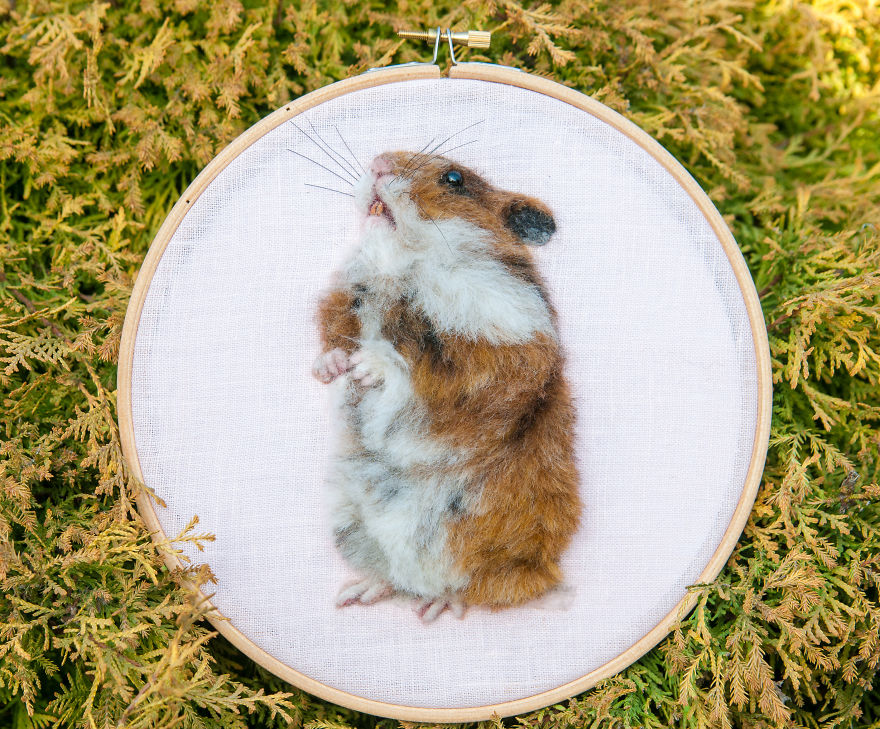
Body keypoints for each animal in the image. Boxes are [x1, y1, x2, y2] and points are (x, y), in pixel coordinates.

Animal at [312, 150, 582, 621]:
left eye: (454, 178)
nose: (377, 162)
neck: (404, 268)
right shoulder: (350, 295)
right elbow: (338, 328)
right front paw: (333, 367)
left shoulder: (498, 357)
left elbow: (421, 374)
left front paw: (366, 367)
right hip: (351, 521)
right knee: (396, 576)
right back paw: (359, 592)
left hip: (486, 549)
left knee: (481, 588)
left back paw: (436, 605)